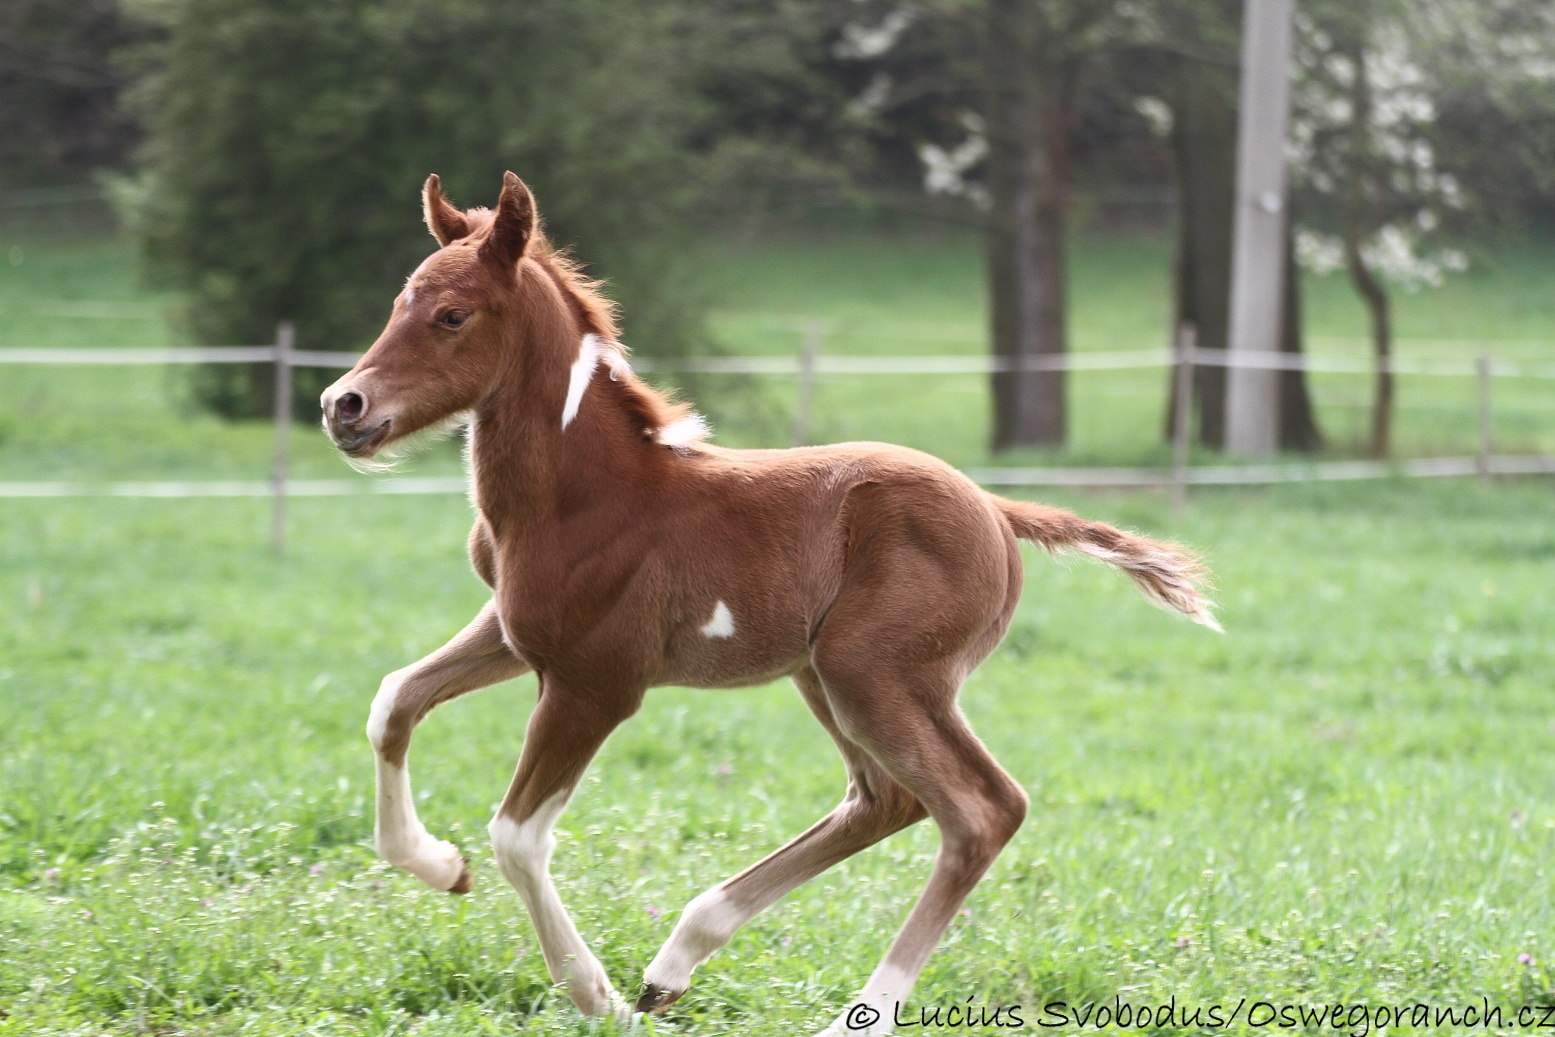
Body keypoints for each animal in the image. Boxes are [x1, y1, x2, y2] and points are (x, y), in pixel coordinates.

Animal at [321, 174, 1219, 1032]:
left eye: (451, 314)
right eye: (399, 304)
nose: (343, 406)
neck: (586, 493)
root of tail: (999, 512)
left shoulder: (595, 683)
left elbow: (516, 834)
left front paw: (595, 996)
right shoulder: (513, 634)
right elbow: (393, 699)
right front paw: (441, 865)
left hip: (875, 673)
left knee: (981, 809)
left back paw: (840, 1016)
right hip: (823, 673)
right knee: (885, 798)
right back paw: (676, 961)